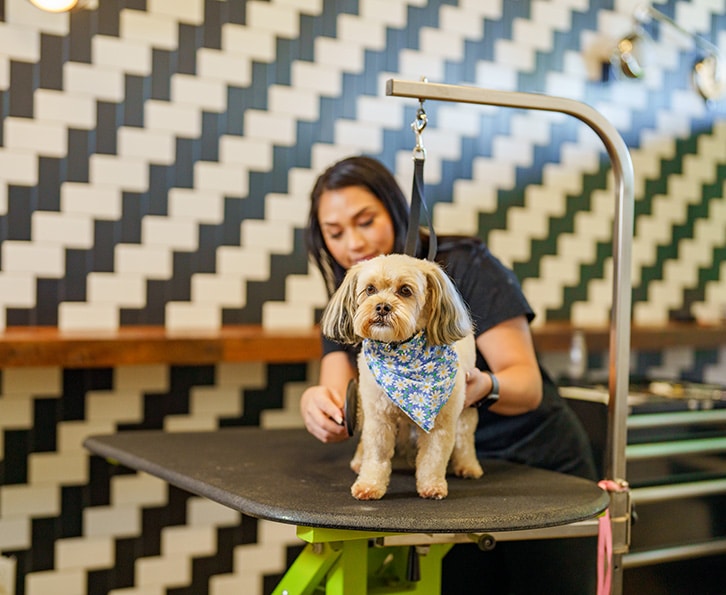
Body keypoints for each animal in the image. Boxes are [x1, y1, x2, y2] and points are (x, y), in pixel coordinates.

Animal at [322, 254, 484, 500]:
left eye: (405, 290)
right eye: (370, 289)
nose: (382, 306)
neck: (400, 352)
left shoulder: (442, 422)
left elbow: (434, 457)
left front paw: (432, 486)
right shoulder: (378, 417)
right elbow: (376, 455)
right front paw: (369, 485)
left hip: (467, 409)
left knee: (465, 438)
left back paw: (468, 465)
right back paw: (359, 460)